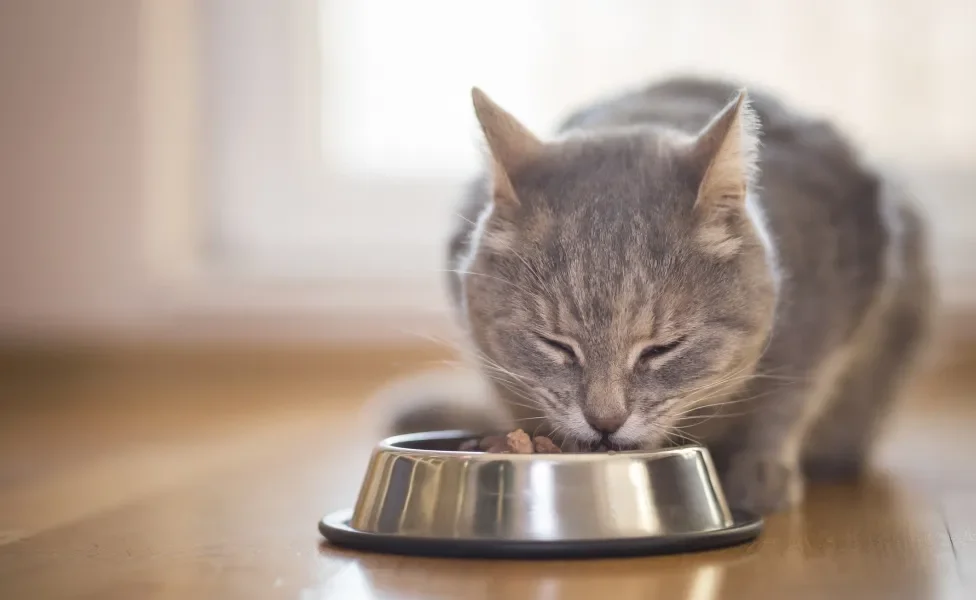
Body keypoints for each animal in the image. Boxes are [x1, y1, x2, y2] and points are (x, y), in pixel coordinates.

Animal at [386, 77, 936, 512]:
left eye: (663, 349)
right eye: (556, 345)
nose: (605, 421)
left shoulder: (836, 300)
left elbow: (792, 398)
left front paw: (762, 470)